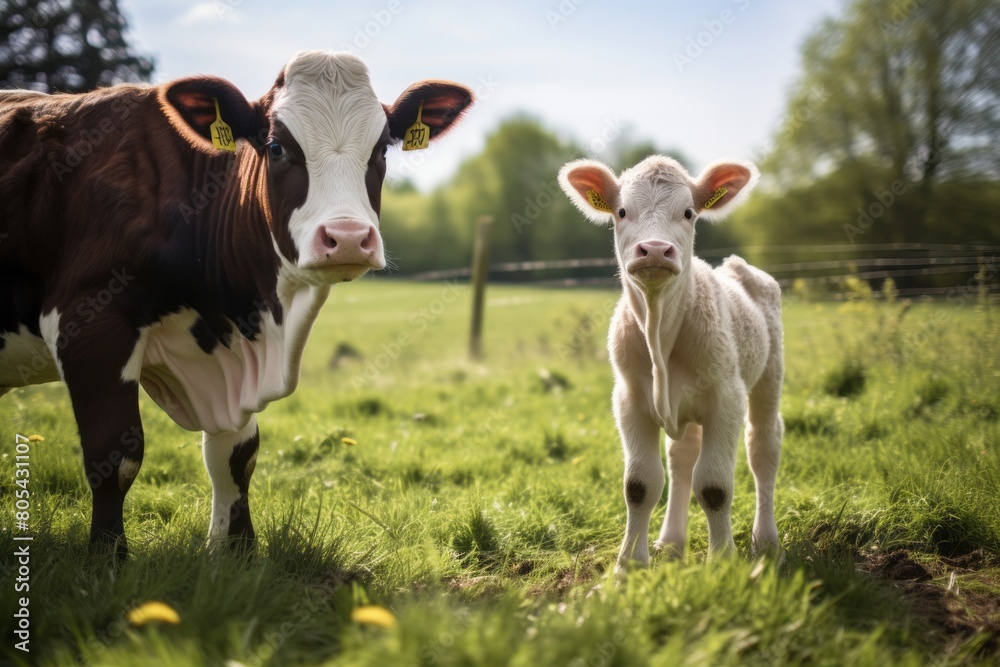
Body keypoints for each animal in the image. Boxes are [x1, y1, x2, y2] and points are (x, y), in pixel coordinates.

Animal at [0, 51, 472, 560]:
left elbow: (236, 457)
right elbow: (114, 456)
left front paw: (239, 553)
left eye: (382, 150)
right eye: (277, 147)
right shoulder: (89, 320)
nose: (347, 238)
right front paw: (109, 560)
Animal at [560, 155, 784, 564]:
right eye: (621, 211)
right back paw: (671, 541)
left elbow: (714, 486)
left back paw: (766, 540)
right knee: (682, 459)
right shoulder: (630, 399)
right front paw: (630, 564)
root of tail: (733, 265)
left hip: (768, 374)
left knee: (763, 447)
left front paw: (722, 562)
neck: (659, 329)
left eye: (689, 212)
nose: (654, 249)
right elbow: (640, 484)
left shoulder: (726, 397)